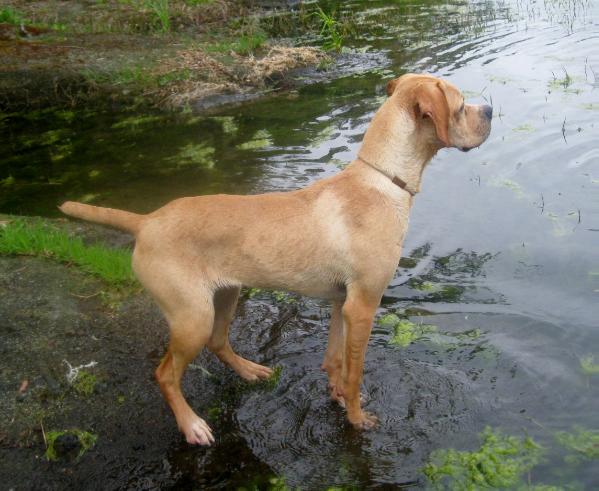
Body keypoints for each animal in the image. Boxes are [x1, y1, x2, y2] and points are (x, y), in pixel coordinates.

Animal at [59, 75, 492, 448]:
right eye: (459, 107)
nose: (489, 109)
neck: (382, 181)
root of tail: (146, 221)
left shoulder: (341, 303)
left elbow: (335, 361)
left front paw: (335, 395)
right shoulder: (364, 305)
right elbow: (354, 372)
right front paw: (356, 419)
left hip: (225, 296)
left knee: (219, 341)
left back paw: (249, 370)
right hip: (191, 317)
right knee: (165, 374)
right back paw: (192, 425)